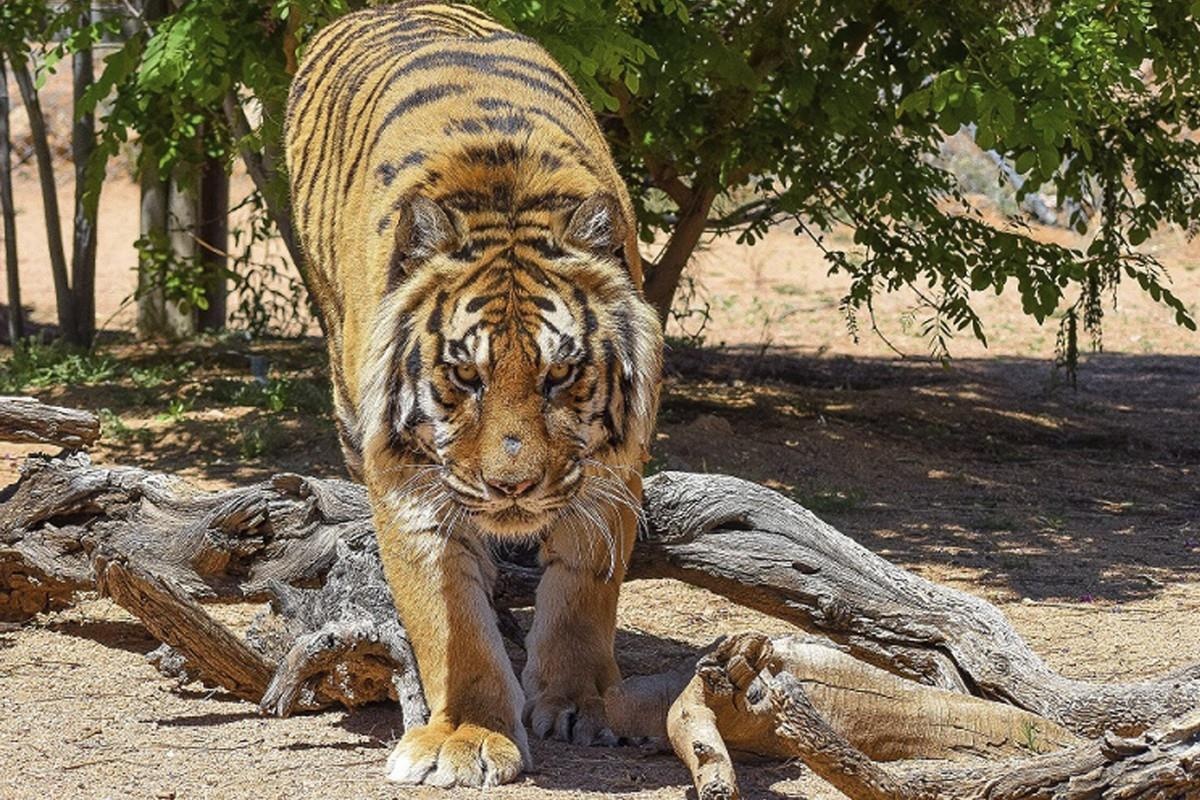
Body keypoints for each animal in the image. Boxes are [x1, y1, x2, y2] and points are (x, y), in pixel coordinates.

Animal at [285, 0, 667, 786]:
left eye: (561, 374)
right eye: (465, 376)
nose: (512, 488)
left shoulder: (613, 467)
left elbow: (584, 592)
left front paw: (582, 705)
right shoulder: (406, 475)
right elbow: (448, 615)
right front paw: (466, 732)